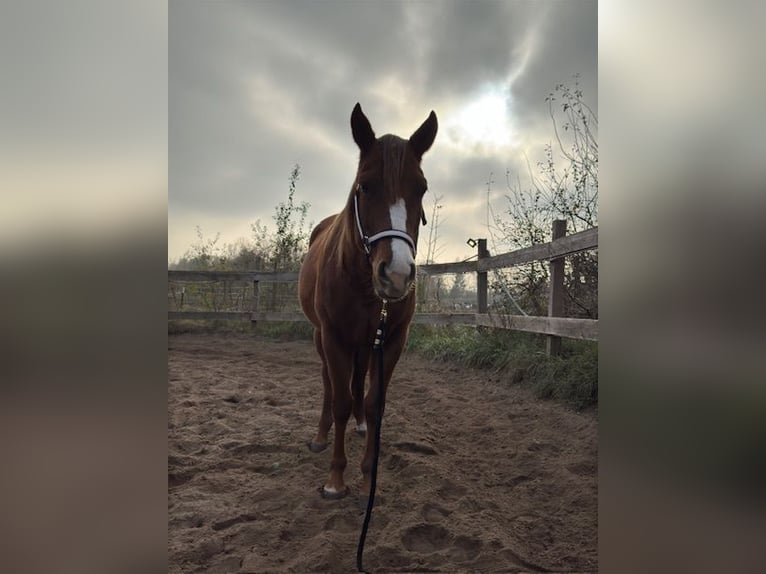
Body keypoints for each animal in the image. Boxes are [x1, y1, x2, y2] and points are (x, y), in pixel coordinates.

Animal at [298, 102, 438, 500]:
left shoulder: (391, 341)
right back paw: (320, 436)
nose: (396, 274)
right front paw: (335, 478)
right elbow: (340, 400)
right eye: (365, 185)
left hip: (364, 344)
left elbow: (375, 403)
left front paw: (366, 475)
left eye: (421, 188)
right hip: (323, 338)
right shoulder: (334, 338)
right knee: (330, 384)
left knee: (357, 382)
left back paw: (358, 426)